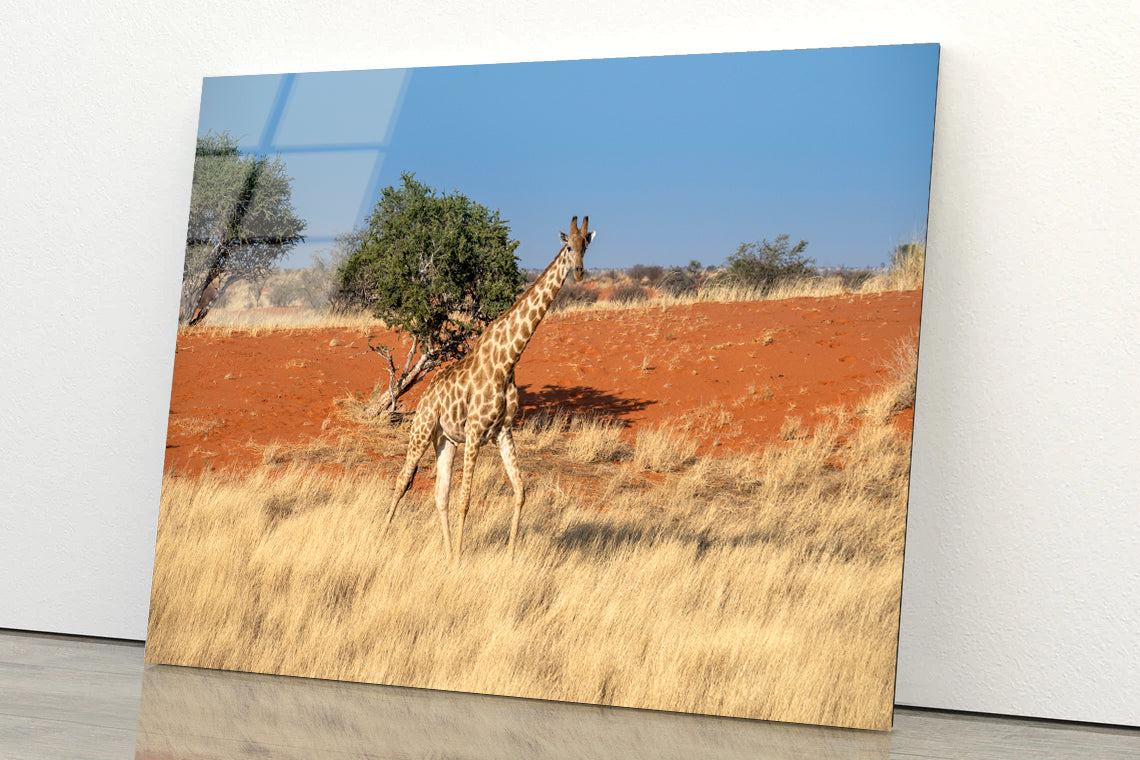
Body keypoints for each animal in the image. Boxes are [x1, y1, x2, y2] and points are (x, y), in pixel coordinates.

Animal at [380, 214, 601, 558]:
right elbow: (466, 500)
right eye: (568, 246)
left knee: (439, 494)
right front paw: (460, 560)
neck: (507, 361)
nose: (578, 271)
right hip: (422, 429)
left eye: (586, 246)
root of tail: (426, 394)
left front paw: (508, 557)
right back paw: (380, 544)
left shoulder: (503, 432)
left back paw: (445, 553)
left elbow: (520, 492)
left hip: (445, 439)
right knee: (403, 481)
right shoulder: (474, 432)